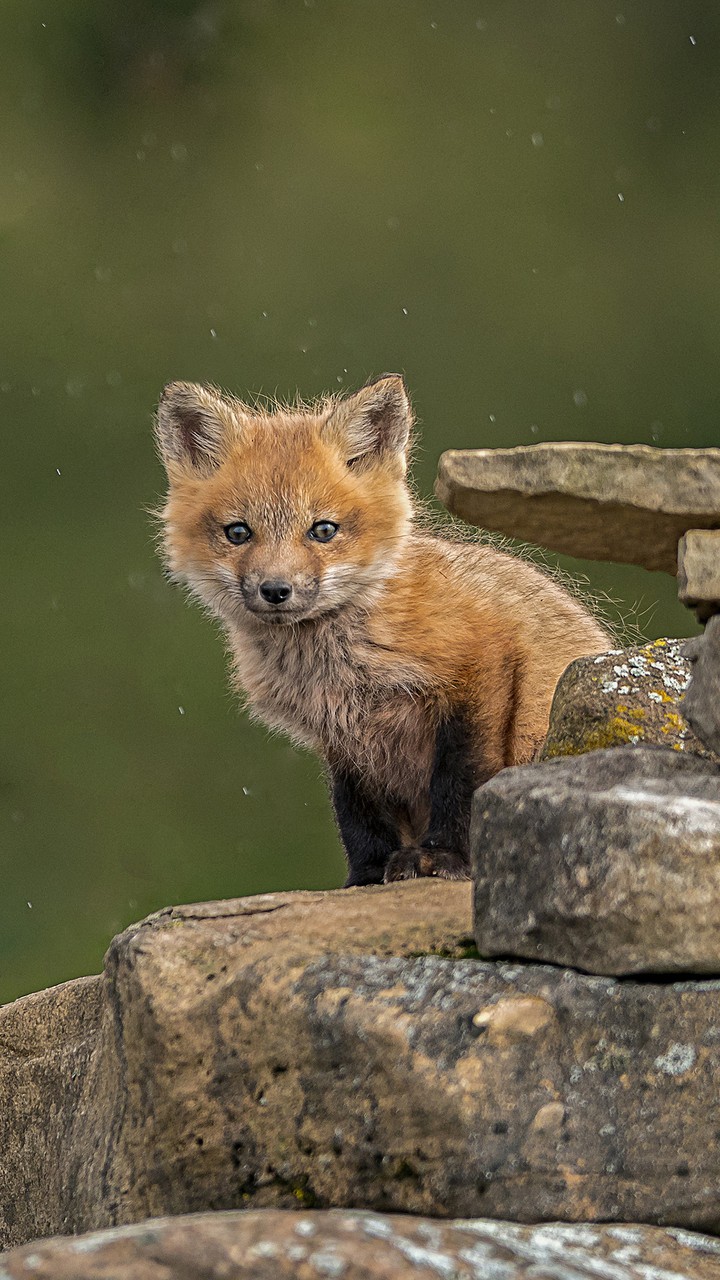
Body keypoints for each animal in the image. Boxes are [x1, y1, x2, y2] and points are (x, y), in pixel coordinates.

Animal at [154, 374, 611, 886]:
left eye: (323, 530)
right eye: (238, 533)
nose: (275, 590)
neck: (338, 667)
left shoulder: (482, 669)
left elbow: (462, 781)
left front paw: (446, 856)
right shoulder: (342, 737)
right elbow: (357, 814)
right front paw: (369, 873)